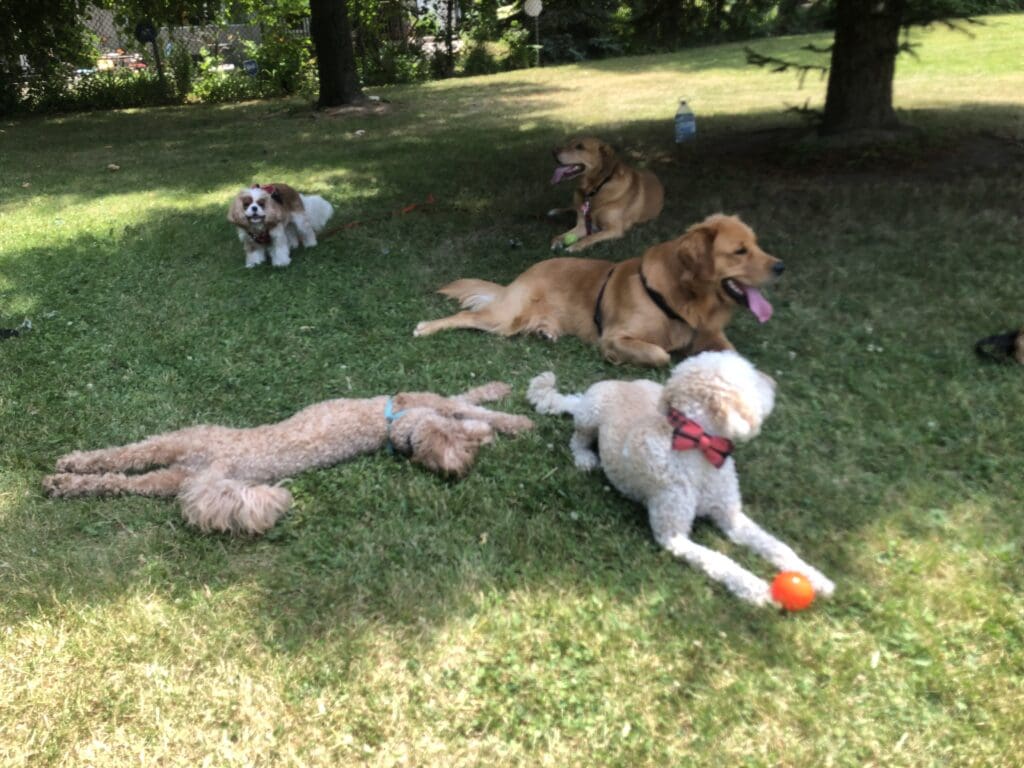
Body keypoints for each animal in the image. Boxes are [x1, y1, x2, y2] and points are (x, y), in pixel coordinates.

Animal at [415, 214, 782, 370]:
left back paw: (545, 331)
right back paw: (425, 327)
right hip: (504, 317)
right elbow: (660, 354)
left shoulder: (708, 335)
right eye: (739, 251)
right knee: (464, 315)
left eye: (757, 244)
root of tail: (521, 275)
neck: (680, 296)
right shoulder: (617, 335)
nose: (780, 267)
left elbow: (737, 356)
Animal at [528, 352, 831, 610]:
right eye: (751, 377)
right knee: (577, 439)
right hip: (590, 415)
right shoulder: (673, 535)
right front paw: (752, 586)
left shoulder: (731, 516)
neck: (700, 449)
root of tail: (621, 382)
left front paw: (814, 576)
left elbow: (776, 545)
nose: (774, 382)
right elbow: (718, 559)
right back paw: (585, 458)